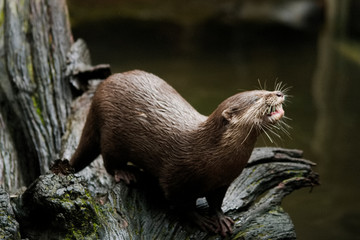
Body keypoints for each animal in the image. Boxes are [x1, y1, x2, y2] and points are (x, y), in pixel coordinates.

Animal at [69, 70, 286, 236]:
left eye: (263, 90)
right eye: (257, 98)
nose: (278, 93)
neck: (211, 155)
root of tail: (100, 90)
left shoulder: (222, 183)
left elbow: (216, 202)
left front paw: (221, 218)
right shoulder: (175, 179)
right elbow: (181, 203)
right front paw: (200, 220)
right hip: (111, 137)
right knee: (109, 162)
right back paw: (126, 173)